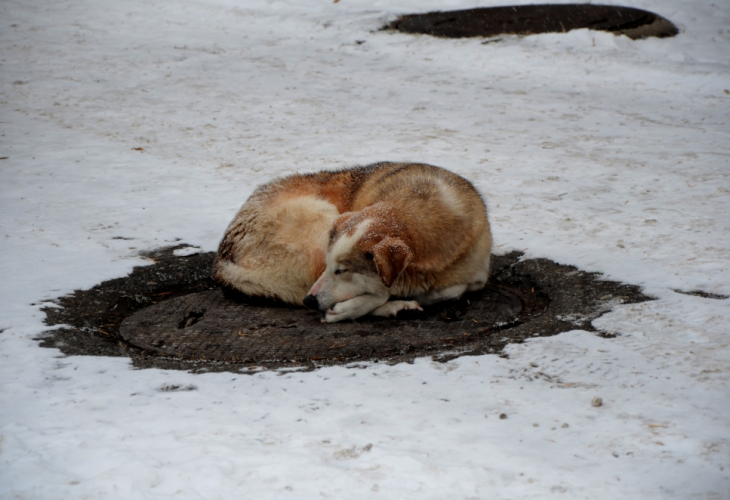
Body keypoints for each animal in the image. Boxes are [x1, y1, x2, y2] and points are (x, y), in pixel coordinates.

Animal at [213, 162, 492, 322]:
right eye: (333, 268)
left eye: (342, 271)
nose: (309, 301)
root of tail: (222, 260)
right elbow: (381, 291)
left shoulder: (478, 275)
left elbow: (456, 288)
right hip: (322, 220)